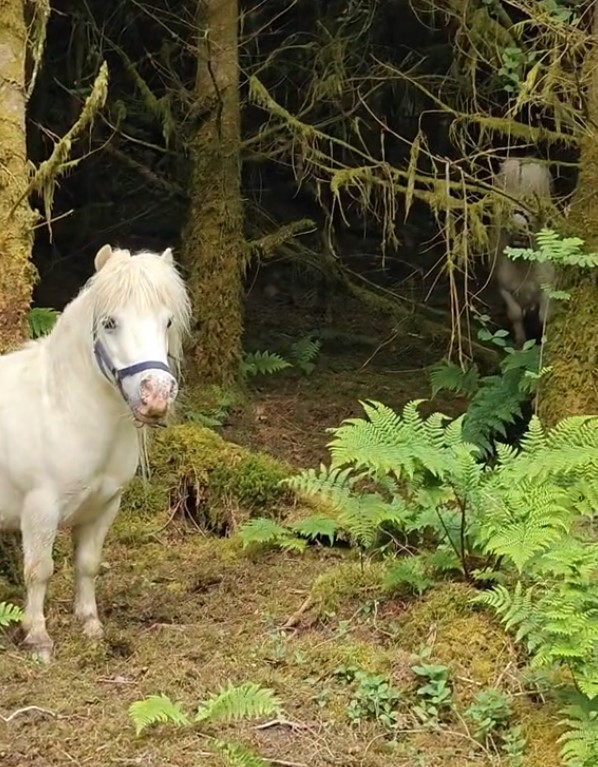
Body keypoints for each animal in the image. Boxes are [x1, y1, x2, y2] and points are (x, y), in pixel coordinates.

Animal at [0, 244, 190, 660]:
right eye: (109, 323)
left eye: (167, 322)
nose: (155, 396)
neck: (61, 408)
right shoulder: (40, 510)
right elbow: (40, 569)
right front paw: (38, 636)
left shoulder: (105, 505)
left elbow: (87, 563)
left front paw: (90, 624)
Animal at [492, 157, 556, 348]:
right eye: (502, 207)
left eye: (533, 204)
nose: (518, 229)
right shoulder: (504, 288)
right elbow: (515, 314)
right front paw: (520, 342)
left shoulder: (547, 286)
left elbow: (544, 317)